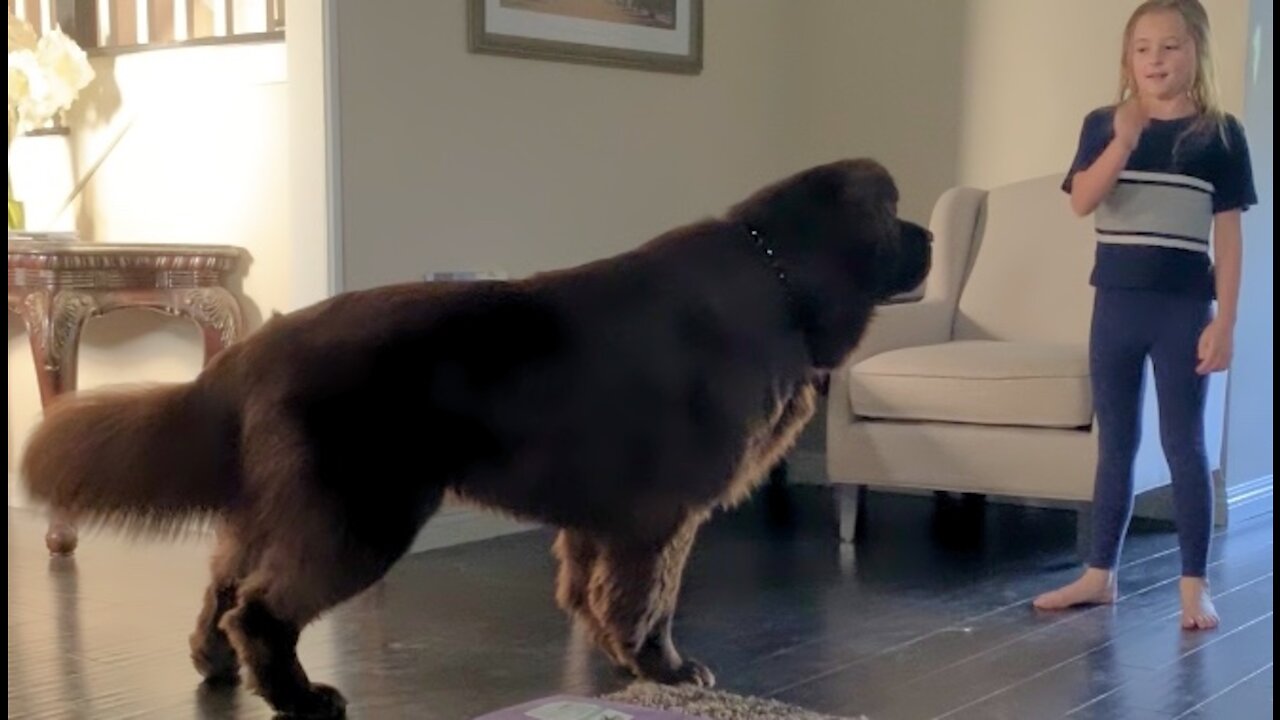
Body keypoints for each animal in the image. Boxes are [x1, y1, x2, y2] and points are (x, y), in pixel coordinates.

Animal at [22, 158, 931, 717]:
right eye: (893, 213)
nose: (928, 239)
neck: (777, 280)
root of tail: (262, 341)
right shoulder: (663, 513)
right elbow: (650, 598)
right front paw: (665, 671)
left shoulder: (607, 513)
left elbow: (593, 588)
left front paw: (612, 661)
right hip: (361, 512)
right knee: (262, 605)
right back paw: (298, 695)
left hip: (279, 504)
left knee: (221, 584)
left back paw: (214, 665)